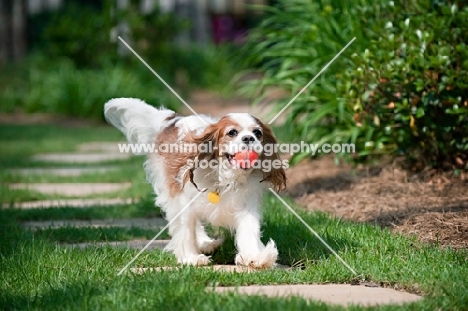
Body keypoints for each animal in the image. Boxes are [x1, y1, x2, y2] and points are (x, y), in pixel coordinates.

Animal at [104, 98, 286, 268]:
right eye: (232, 132)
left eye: (258, 133)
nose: (249, 138)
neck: (224, 178)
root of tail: (170, 121)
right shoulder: (184, 202)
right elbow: (186, 230)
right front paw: (190, 258)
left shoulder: (246, 205)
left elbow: (249, 230)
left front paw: (255, 257)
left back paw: (207, 243)